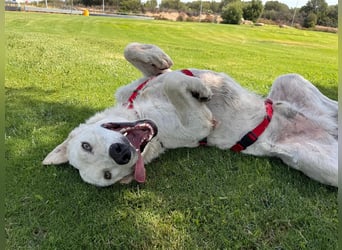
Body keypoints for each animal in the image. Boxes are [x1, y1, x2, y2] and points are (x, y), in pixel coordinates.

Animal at [42, 43, 336, 188]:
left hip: (290, 80)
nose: (121, 154)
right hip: (327, 167)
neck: (141, 109)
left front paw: (158, 57)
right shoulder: (198, 126)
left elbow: (135, 53)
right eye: (108, 175)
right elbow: (176, 84)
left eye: (86, 145)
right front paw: (201, 89)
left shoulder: (146, 82)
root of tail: (330, 128)